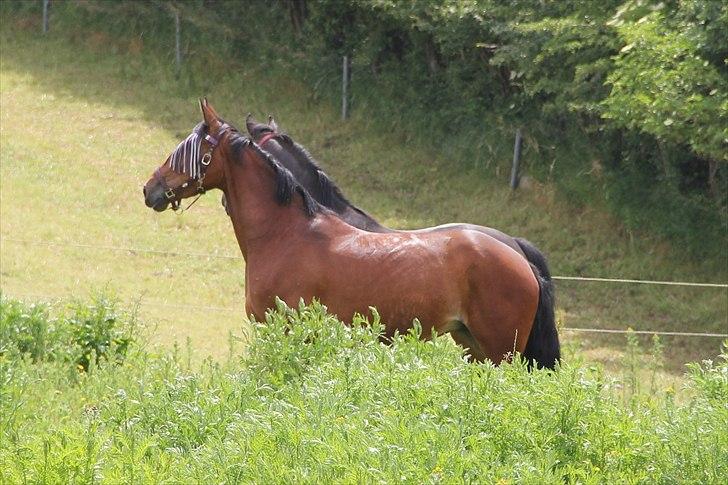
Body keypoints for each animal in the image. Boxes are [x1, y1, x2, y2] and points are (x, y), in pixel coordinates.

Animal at [145, 100, 560, 368]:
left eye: (189, 148)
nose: (150, 189)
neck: (286, 234)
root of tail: (519, 257)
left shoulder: (287, 333)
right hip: (473, 347)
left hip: (501, 352)